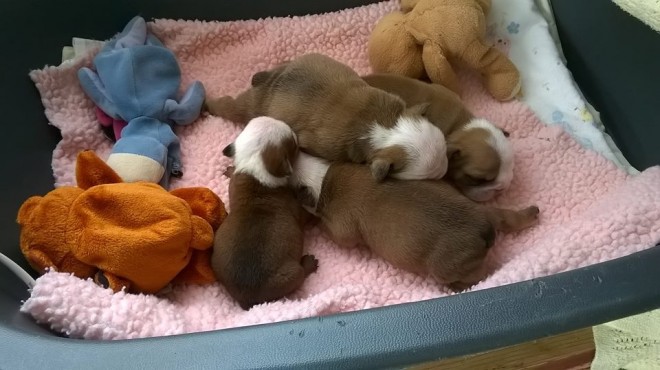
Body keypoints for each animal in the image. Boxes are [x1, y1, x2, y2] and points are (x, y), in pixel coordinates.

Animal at [206, 52, 448, 183]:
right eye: (427, 178)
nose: (446, 170)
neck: (386, 128)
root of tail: (273, 79)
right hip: (251, 105)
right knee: (231, 107)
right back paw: (209, 104)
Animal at [210, 115, 316, 310]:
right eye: (294, 144)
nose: (296, 133)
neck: (255, 166)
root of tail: (247, 299)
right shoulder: (298, 210)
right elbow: (306, 213)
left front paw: (230, 169)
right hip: (292, 274)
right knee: (300, 276)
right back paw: (309, 264)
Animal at [292, 152, 540, 290]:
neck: (321, 177)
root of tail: (484, 227)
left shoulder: (342, 230)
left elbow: (330, 228)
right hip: (490, 213)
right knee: (508, 217)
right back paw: (531, 213)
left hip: (446, 268)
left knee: (480, 275)